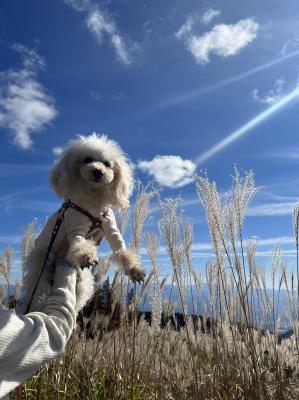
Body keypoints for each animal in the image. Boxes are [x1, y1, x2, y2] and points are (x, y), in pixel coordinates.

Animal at [17, 133, 146, 314]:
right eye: (87, 159)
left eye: (107, 164)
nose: (98, 171)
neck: (94, 203)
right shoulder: (76, 226)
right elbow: (80, 242)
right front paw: (87, 256)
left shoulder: (110, 227)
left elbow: (121, 249)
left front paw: (135, 270)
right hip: (39, 272)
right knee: (34, 297)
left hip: (82, 282)